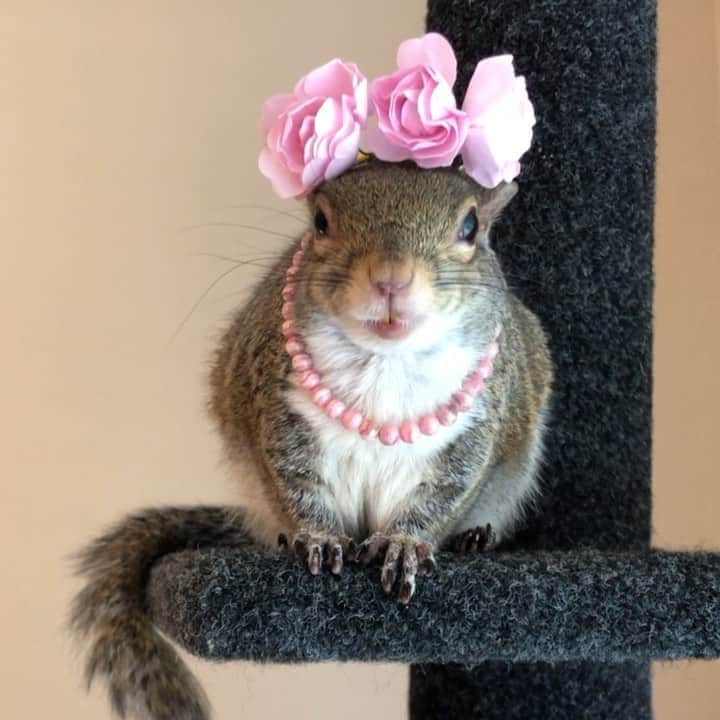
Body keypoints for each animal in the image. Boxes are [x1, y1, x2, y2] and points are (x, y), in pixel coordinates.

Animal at [70, 159, 553, 720]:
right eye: (320, 221)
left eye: (471, 226)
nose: (390, 277)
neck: (386, 360)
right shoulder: (279, 412)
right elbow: (294, 482)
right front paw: (317, 536)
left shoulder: (475, 431)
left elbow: (444, 494)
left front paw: (404, 545)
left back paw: (474, 538)